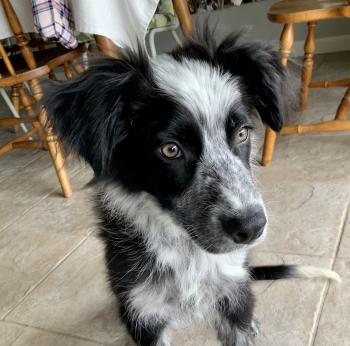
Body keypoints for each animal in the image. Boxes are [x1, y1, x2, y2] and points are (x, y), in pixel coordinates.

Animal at [43, 33, 340, 346]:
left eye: (242, 133)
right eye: (170, 149)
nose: (252, 228)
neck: (189, 252)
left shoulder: (233, 294)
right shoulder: (143, 311)